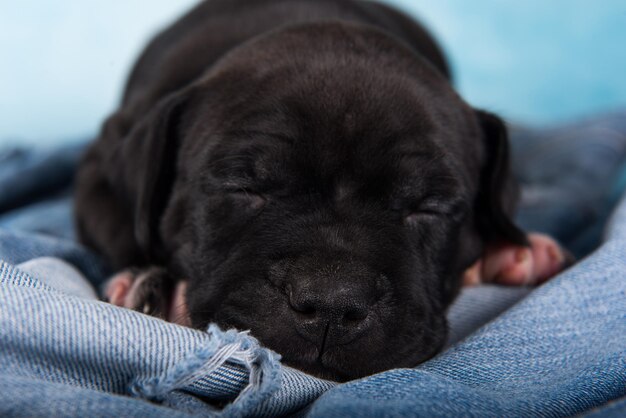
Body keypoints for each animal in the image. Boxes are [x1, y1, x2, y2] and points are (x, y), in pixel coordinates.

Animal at [74, 0, 564, 380]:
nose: (333, 303)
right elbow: (124, 229)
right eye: (243, 187)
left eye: (429, 207)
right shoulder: (102, 166)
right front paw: (148, 284)